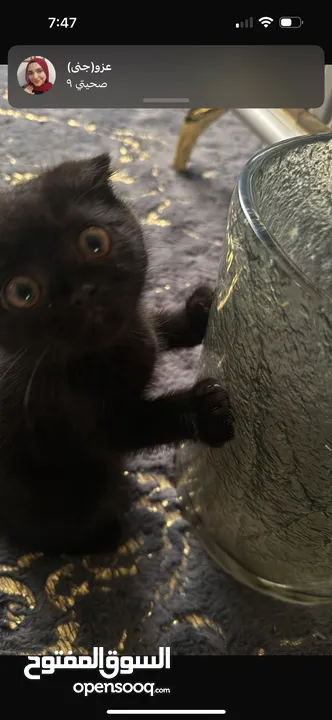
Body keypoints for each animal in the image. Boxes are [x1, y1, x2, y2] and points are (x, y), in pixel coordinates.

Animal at [0, 155, 233, 556]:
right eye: (22, 292)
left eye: (94, 242)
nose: (81, 292)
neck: (105, 353)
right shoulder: (85, 423)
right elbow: (148, 422)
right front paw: (205, 411)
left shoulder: (139, 325)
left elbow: (162, 327)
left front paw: (202, 310)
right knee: (45, 536)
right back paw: (108, 534)